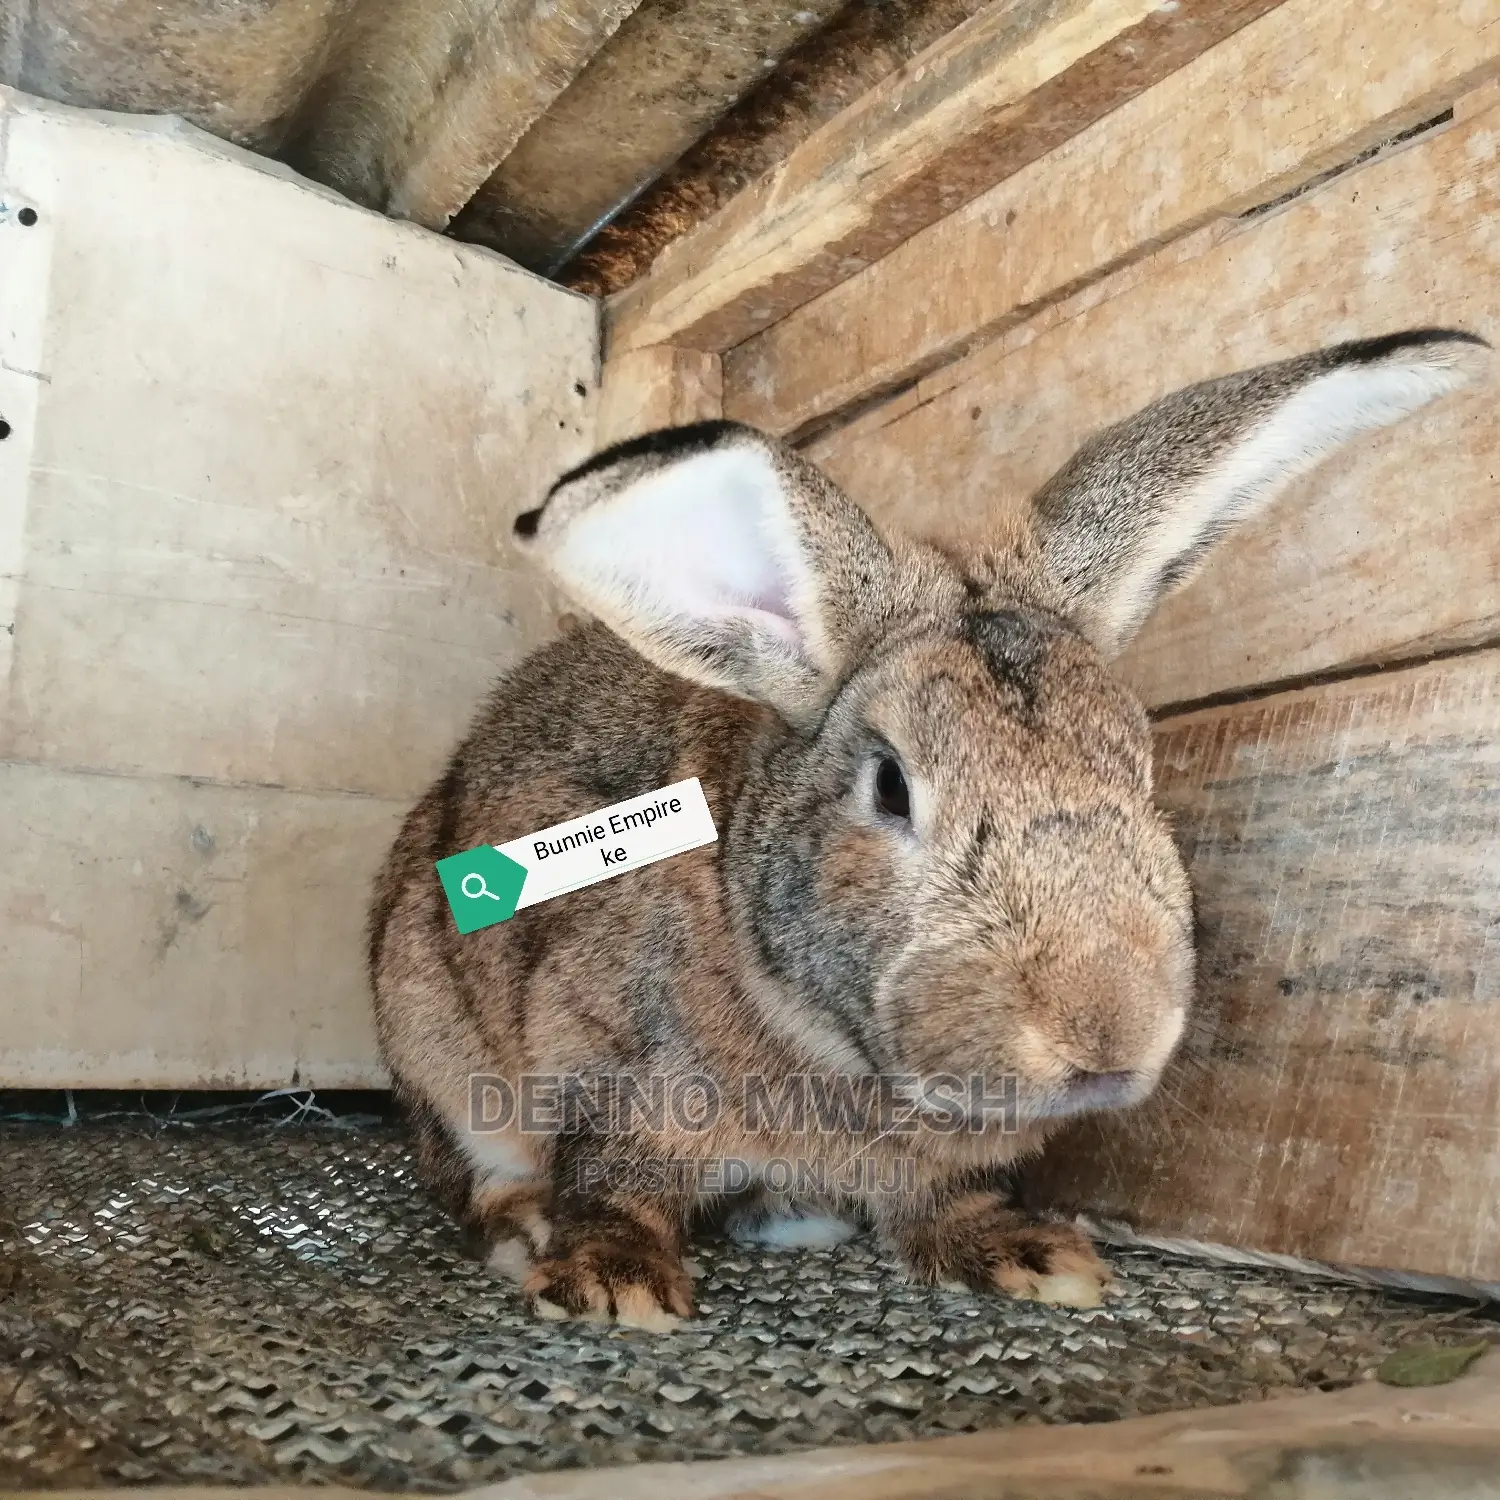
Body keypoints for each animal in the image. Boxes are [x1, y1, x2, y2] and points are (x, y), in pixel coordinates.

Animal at [370, 329, 1488, 1330]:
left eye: (1141, 765)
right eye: (892, 787)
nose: (1108, 1036)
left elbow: (941, 1204)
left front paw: (1030, 1258)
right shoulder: (599, 1059)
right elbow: (610, 1181)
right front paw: (615, 1285)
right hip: (430, 1028)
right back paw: (526, 1226)